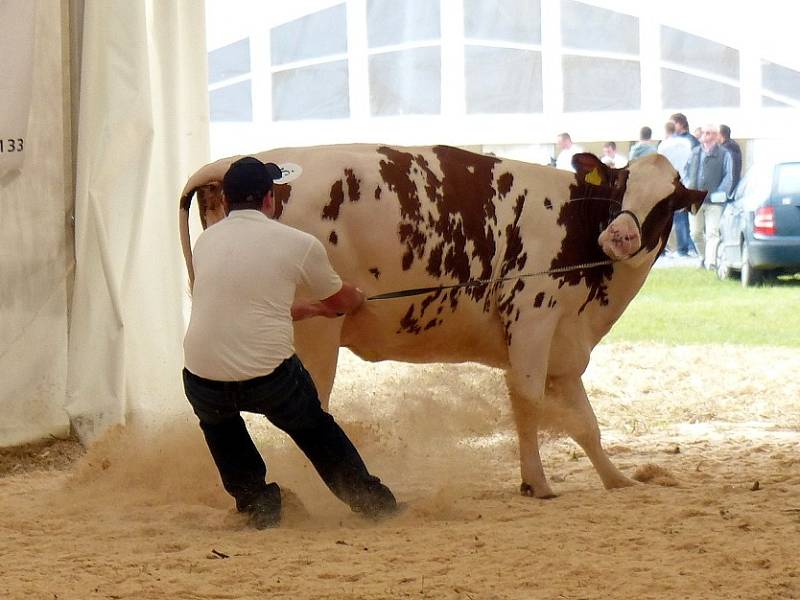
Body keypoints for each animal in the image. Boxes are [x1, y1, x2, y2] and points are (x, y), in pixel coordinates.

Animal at [178, 144, 704, 496]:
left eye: (668, 202)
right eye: (619, 188)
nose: (619, 237)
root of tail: (236, 162)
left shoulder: (565, 349)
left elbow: (585, 423)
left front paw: (618, 479)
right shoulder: (532, 316)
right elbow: (529, 403)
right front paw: (537, 483)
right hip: (314, 332)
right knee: (312, 410)